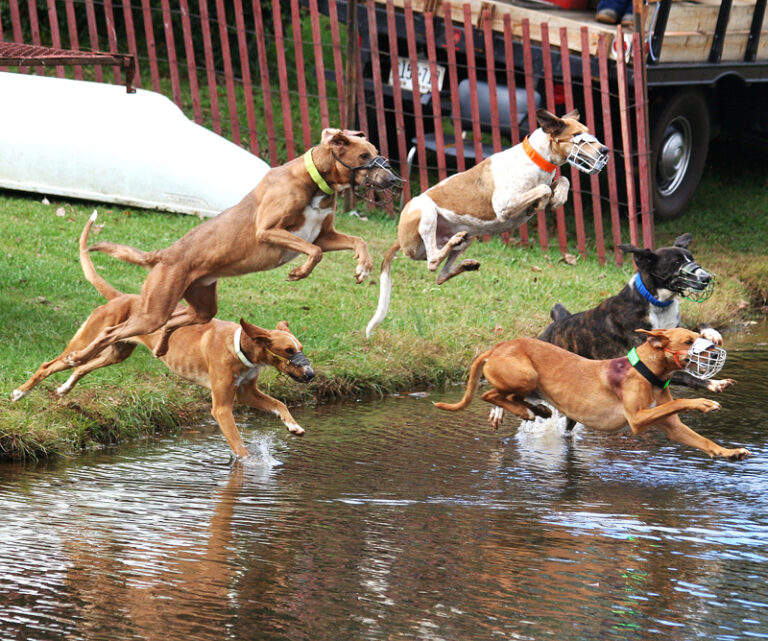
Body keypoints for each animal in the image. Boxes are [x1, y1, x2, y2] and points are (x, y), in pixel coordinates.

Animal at [9, 212, 316, 458]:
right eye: (288, 351)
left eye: (300, 347)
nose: (311, 374)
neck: (239, 345)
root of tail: (120, 297)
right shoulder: (221, 407)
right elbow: (240, 446)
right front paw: (250, 465)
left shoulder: (246, 393)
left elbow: (279, 403)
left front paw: (294, 425)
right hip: (87, 341)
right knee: (52, 364)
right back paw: (19, 393)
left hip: (116, 354)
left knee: (83, 367)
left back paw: (64, 388)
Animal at [364, 109, 608, 340]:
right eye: (576, 135)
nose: (605, 151)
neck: (535, 159)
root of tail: (399, 238)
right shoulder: (503, 206)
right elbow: (544, 189)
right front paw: (540, 203)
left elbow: (561, 182)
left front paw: (557, 198)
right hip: (426, 210)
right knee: (433, 261)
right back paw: (452, 245)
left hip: (468, 235)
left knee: (441, 274)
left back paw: (465, 262)